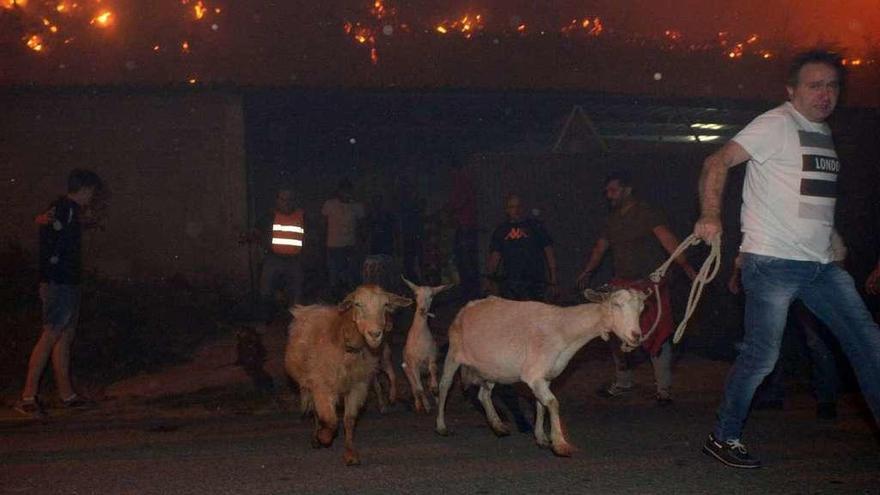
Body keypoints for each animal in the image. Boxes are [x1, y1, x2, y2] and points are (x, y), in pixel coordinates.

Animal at [288, 284, 414, 466]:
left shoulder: (357, 387)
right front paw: (324, 437)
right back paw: (316, 437)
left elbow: (349, 420)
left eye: (385, 305)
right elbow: (330, 420)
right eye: (357, 304)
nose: (375, 334)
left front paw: (350, 454)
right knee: (316, 413)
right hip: (309, 383)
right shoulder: (322, 386)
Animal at [400, 280, 454, 414]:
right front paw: (427, 407)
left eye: (431, 296)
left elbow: (433, 372)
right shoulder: (413, 364)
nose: (422, 309)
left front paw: (435, 390)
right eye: (416, 294)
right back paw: (419, 405)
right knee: (415, 388)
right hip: (407, 371)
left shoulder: (432, 357)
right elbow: (419, 388)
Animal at [434, 290, 648, 458]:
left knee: (483, 394)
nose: (636, 336)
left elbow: (540, 405)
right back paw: (441, 427)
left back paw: (498, 426)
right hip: (454, 353)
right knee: (444, 386)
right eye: (616, 305)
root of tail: (468, 307)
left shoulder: (545, 377)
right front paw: (560, 444)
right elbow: (552, 403)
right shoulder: (535, 375)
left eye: (642, 309)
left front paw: (541, 438)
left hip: (492, 368)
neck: (564, 331)